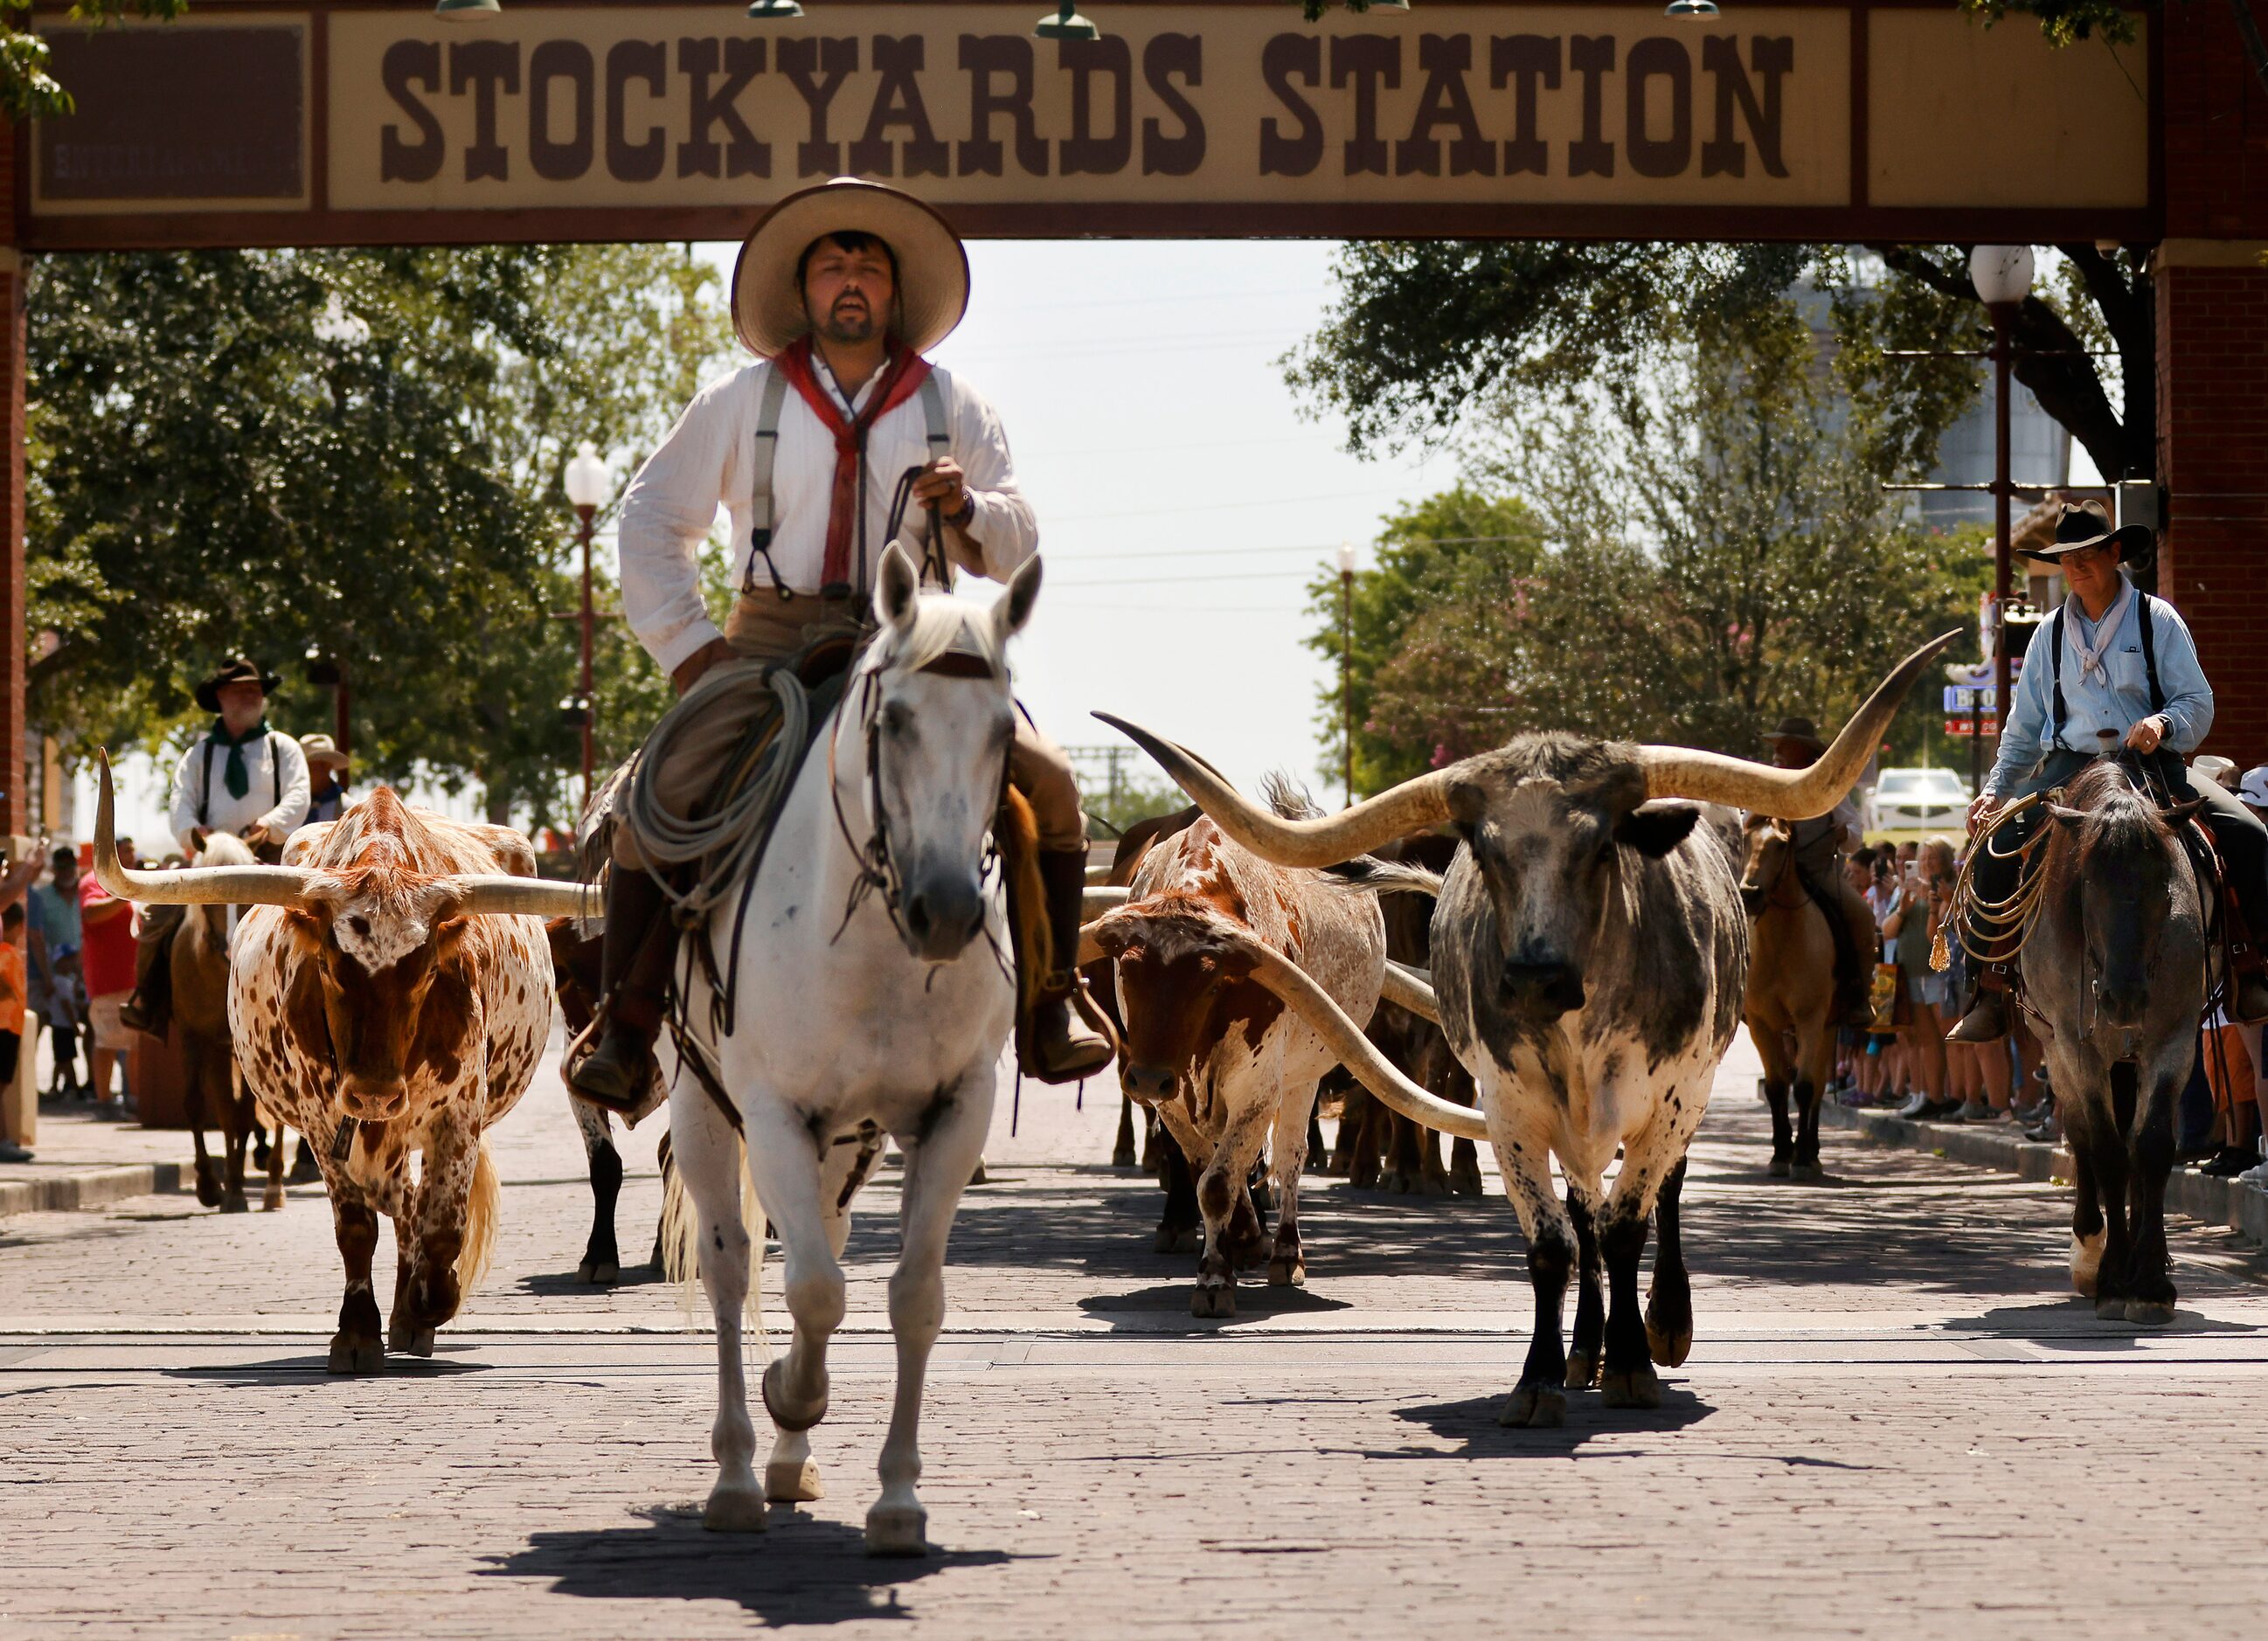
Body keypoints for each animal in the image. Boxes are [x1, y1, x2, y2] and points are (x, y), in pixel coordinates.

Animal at [168, 838, 276, 1215]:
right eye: (208, 896)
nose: (230, 947)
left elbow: (243, 1114)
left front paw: (236, 1189)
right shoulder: (195, 1039)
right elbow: (199, 1105)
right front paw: (211, 1185)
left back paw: (274, 1187)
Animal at [662, 544, 1038, 1559]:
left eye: (1004, 729)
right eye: (895, 718)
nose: (946, 908)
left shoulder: (954, 1113)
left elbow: (911, 1297)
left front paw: (898, 1500)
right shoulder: (771, 1113)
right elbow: (812, 1292)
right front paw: (789, 1399)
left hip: (847, 1141)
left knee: (819, 1243)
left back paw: (789, 1462)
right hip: (705, 1109)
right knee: (734, 1268)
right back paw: (737, 1472)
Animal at [1732, 815, 1841, 1178]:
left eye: (1780, 845)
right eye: (1746, 839)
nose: (1750, 894)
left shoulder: (1811, 1019)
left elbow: (1805, 1086)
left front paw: (1803, 1157)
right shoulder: (1761, 1025)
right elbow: (1776, 1086)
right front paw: (1781, 1153)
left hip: (1827, 1029)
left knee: (1818, 1084)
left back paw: (1812, 1150)